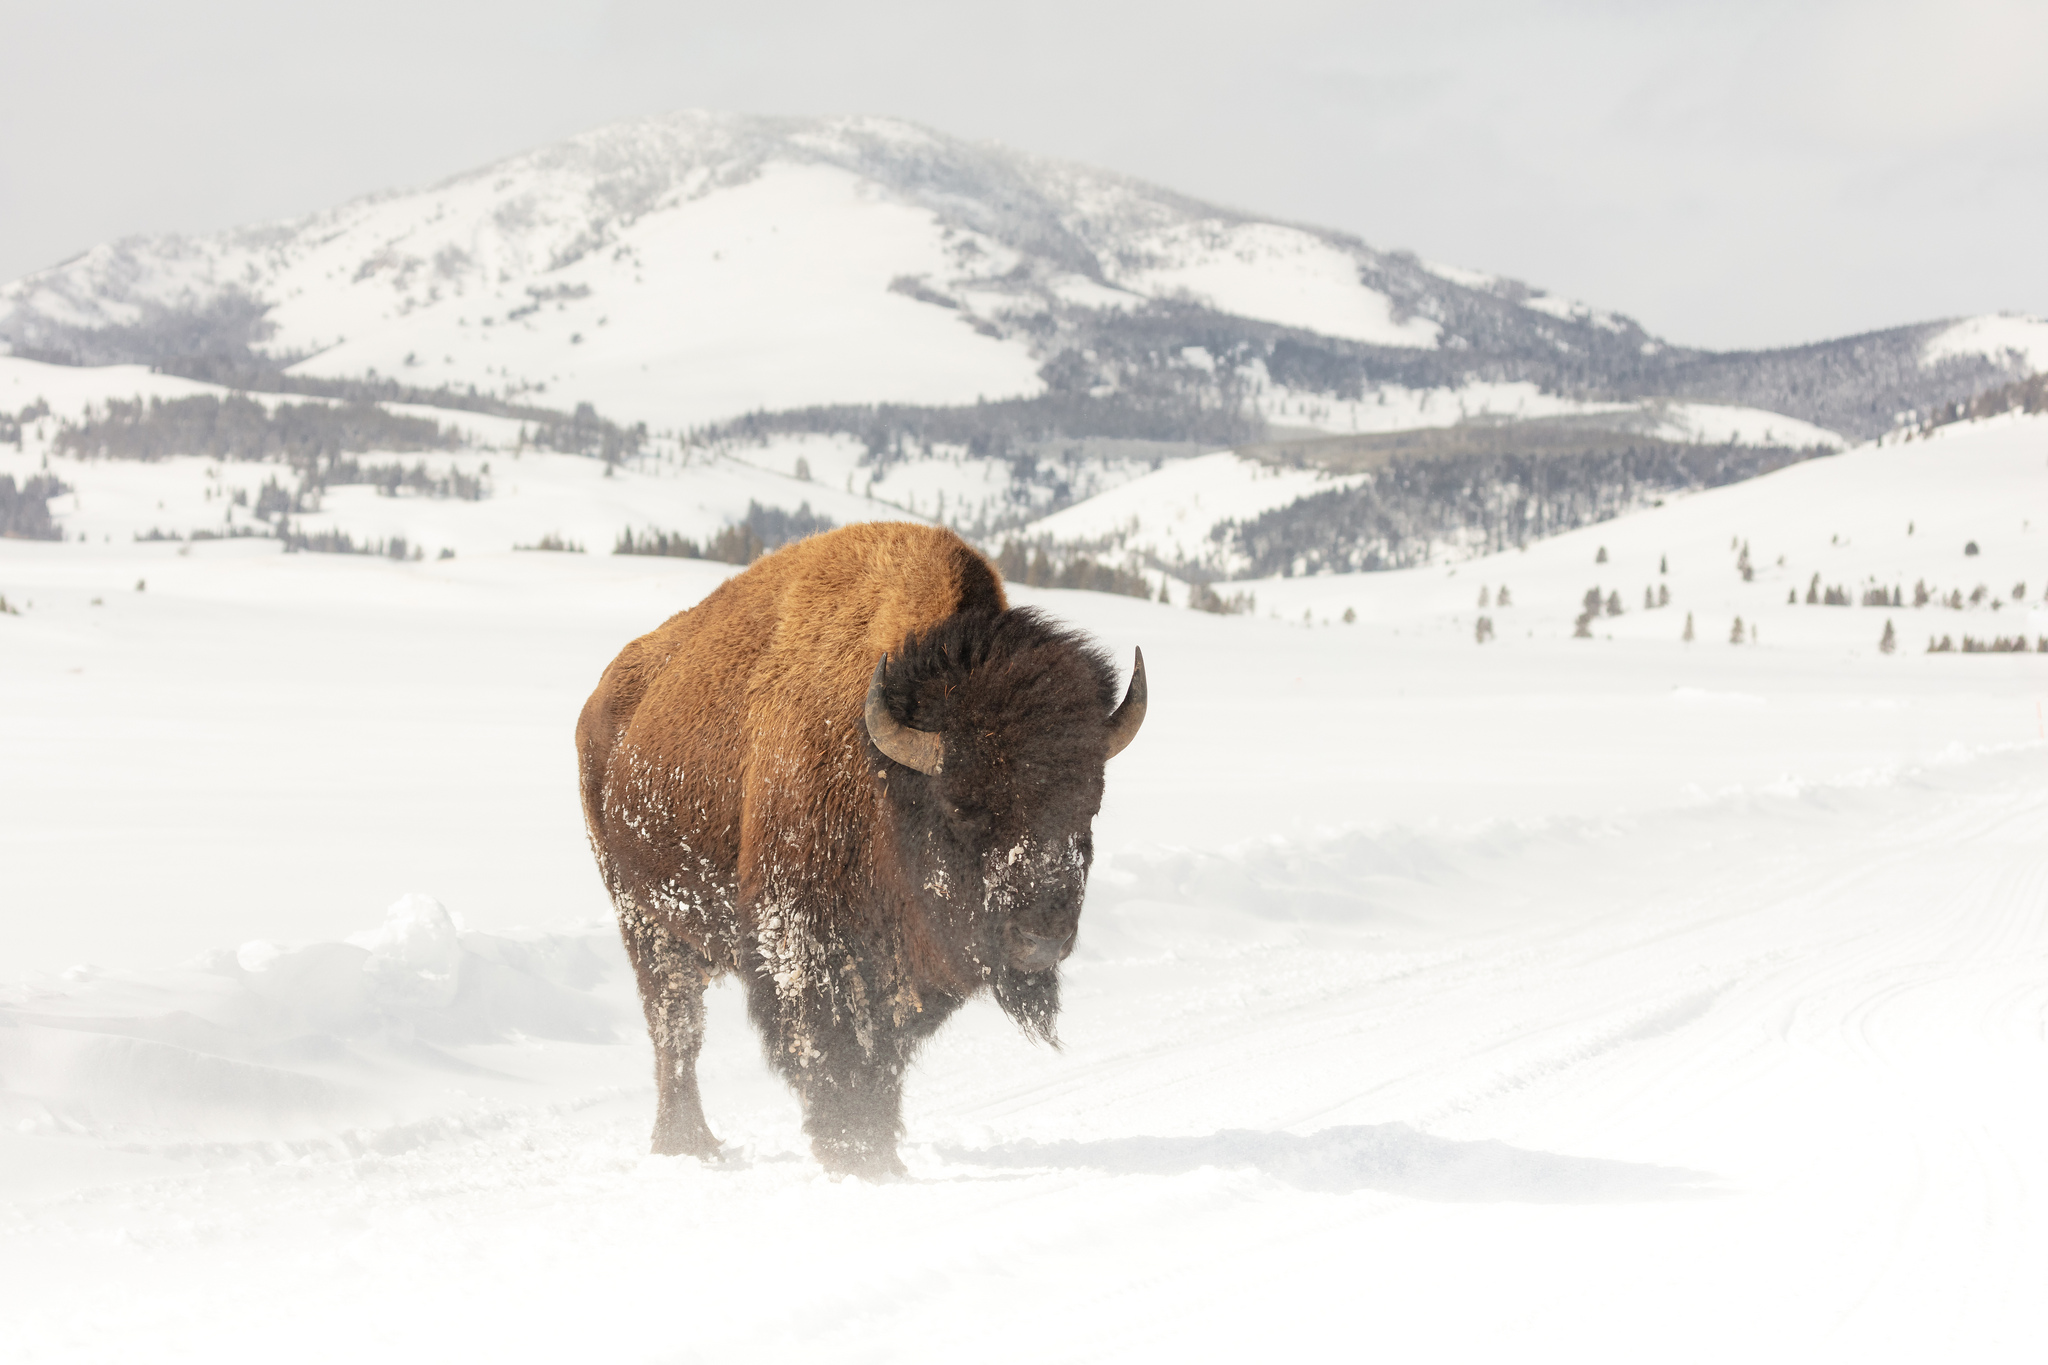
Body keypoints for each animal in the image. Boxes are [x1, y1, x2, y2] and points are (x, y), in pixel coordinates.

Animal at [577, 517, 1146, 1178]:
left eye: (1090, 804)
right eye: (960, 805)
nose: (1041, 938)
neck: (884, 778)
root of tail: (604, 702)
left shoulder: (904, 971)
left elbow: (884, 1054)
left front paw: (879, 1150)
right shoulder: (805, 943)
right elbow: (833, 1046)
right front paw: (853, 1153)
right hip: (645, 919)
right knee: (676, 1025)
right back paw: (687, 1143)